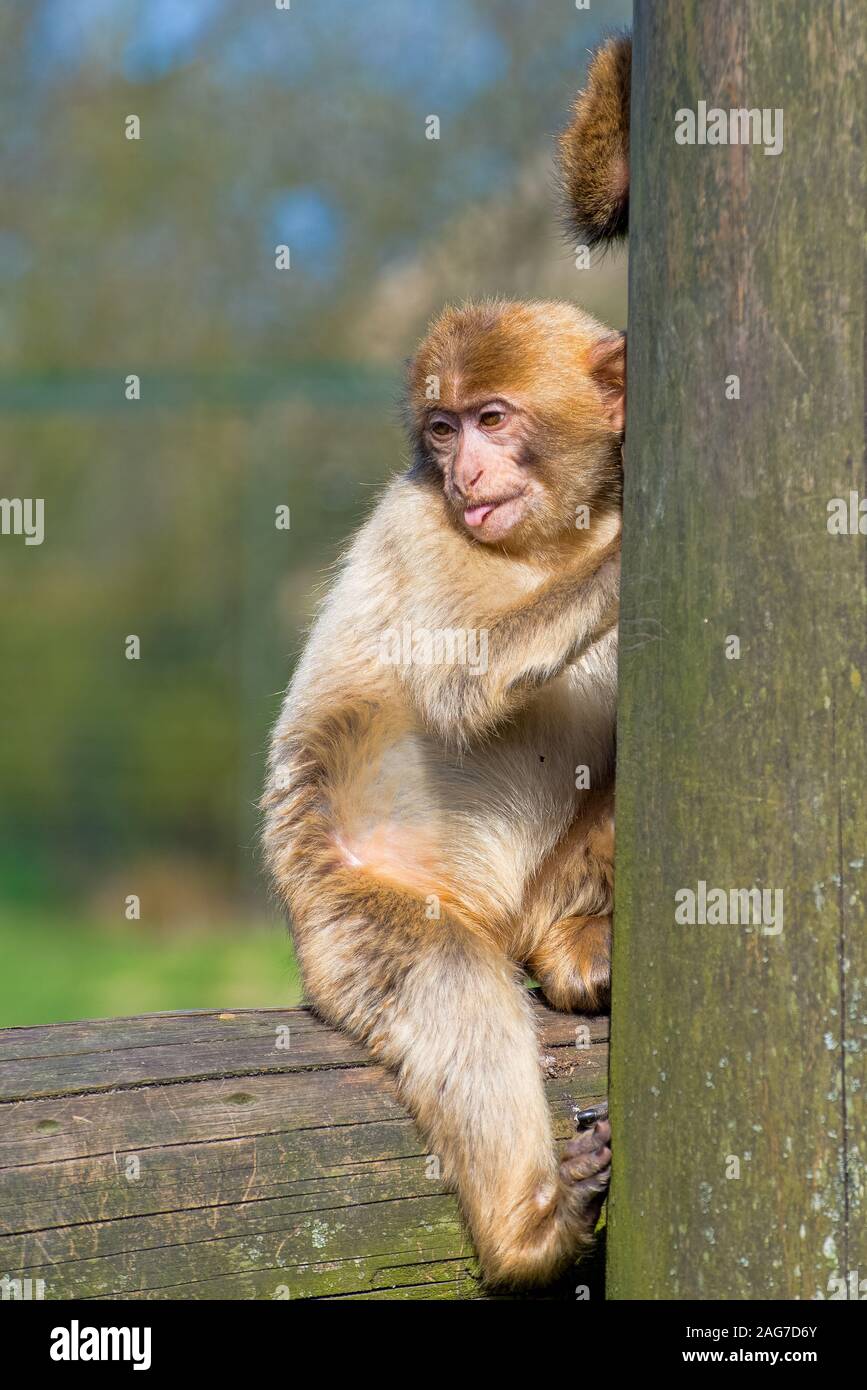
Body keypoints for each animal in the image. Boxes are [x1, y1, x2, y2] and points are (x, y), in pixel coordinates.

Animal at [262, 298, 622, 1284]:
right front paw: (625, 559)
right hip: (343, 914)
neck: (554, 539)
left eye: (490, 418)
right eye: (441, 428)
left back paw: (578, 944)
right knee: (450, 979)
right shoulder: (420, 529)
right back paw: (533, 1230)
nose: (464, 471)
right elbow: (464, 684)